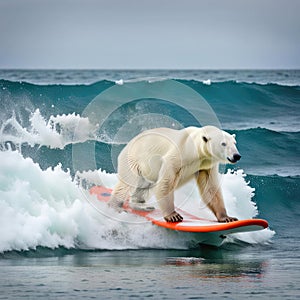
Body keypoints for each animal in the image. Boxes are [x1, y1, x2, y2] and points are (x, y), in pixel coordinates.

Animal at [109, 125, 240, 223]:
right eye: (223, 143)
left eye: (234, 143)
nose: (236, 156)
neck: (195, 148)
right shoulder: (178, 154)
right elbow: (166, 182)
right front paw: (173, 215)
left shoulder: (206, 165)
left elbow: (210, 187)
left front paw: (226, 217)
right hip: (133, 159)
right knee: (127, 182)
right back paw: (115, 206)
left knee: (144, 186)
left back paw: (143, 206)